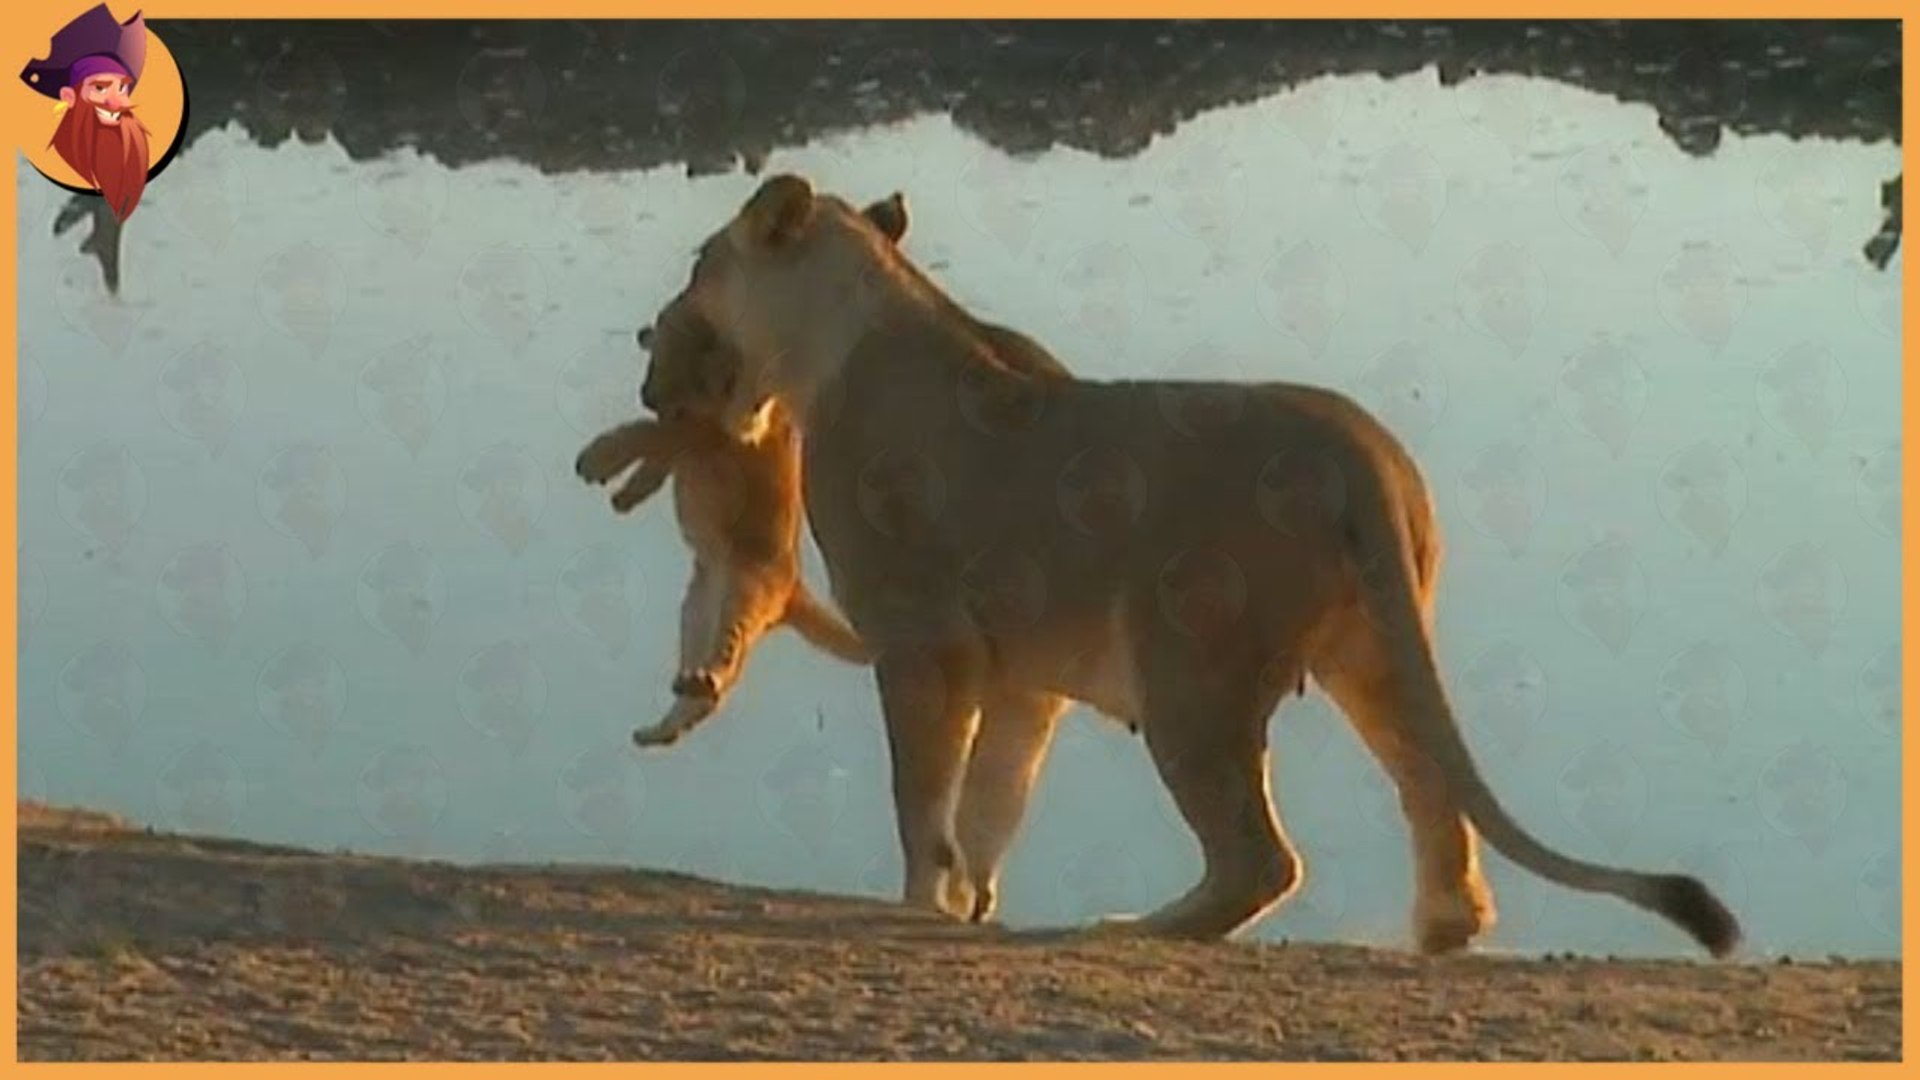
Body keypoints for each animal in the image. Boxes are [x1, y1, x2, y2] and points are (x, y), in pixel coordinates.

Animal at [636, 173, 1743, 958]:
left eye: (699, 264)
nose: (651, 339)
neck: (846, 331)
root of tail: (1359, 453)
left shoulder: (923, 645)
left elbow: (924, 797)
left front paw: (923, 903)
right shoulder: (1025, 673)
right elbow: (994, 797)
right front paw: (972, 901)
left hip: (1189, 670)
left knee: (1261, 858)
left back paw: (1134, 927)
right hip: (1369, 654)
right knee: (1431, 791)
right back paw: (1436, 930)